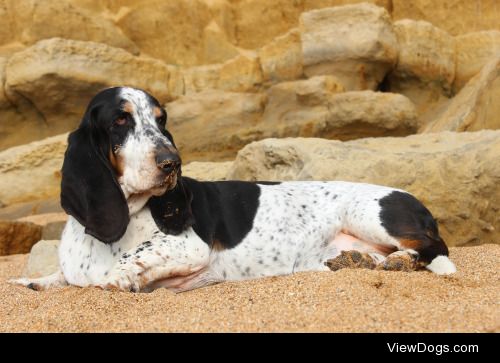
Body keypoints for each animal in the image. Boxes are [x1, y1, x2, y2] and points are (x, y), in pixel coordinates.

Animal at [10, 89, 458, 296]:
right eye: (120, 121)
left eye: (161, 119)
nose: (171, 161)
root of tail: (417, 203)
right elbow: (60, 278)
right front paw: (35, 281)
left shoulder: (187, 248)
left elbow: (130, 261)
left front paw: (117, 278)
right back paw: (358, 262)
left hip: (369, 215)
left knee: (433, 247)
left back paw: (400, 261)